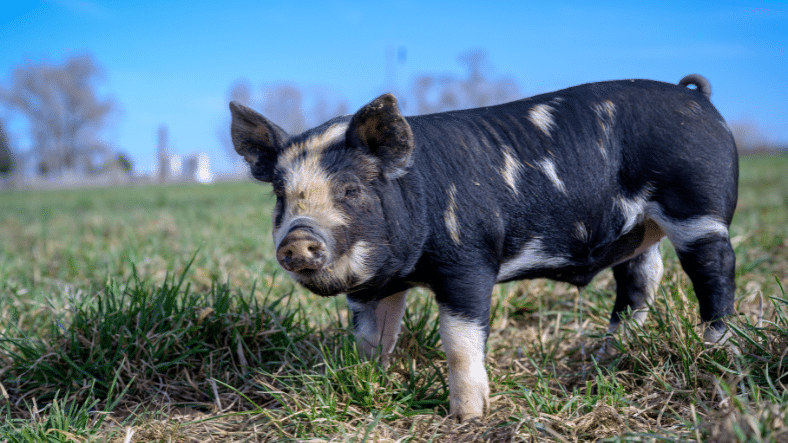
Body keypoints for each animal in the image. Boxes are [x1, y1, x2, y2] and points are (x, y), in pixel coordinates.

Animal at [229, 74, 738, 422]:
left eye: (351, 190)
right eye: (281, 196)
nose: (298, 239)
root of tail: (698, 97)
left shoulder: (469, 262)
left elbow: (459, 341)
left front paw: (467, 417)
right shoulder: (373, 288)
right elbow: (371, 340)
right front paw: (370, 382)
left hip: (699, 207)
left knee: (715, 274)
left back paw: (715, 352)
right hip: (638, 233)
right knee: (639, 283)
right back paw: (603, 358)